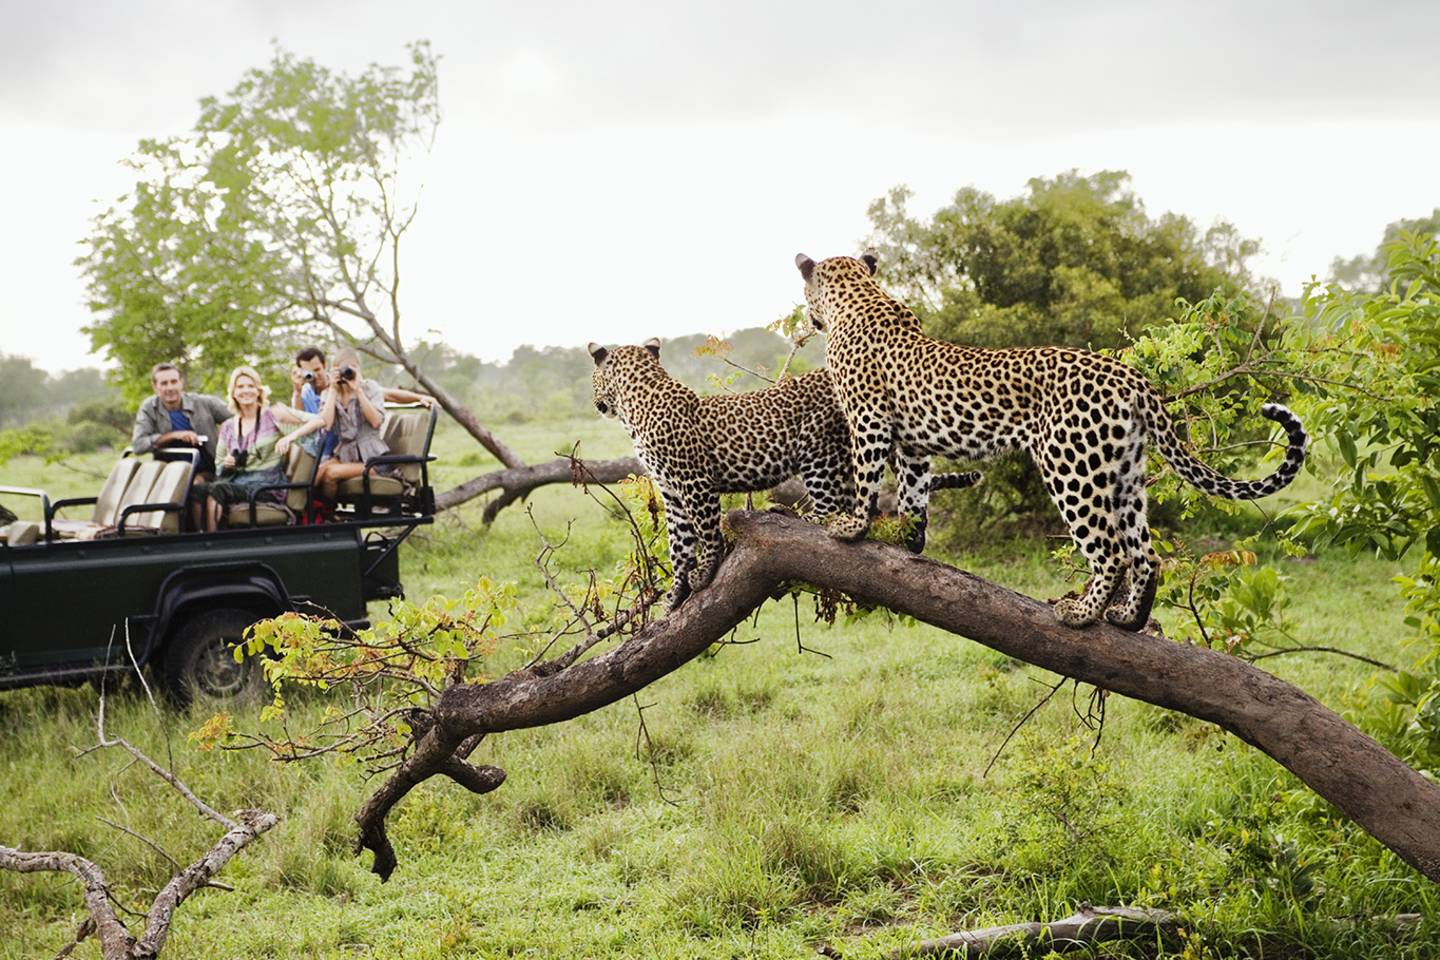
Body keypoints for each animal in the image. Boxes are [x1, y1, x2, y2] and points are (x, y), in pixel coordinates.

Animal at [584, 338, 979, 607]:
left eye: (593, 379)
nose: (595, 403)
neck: (637, 404)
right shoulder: (670, 490)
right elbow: (678, 543)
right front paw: (677, 590)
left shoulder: (694, 483)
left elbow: (707, 532)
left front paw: (706, 570)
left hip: (818, 450)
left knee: (830, 508)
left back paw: (795, 514)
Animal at [794, 251, 1313, 633]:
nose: (809, 318)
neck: (859, 296)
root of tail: (1131, 377)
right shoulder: (914, 444)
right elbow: (913, 492)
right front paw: (910, 538)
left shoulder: (868, 420)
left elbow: (867, 478)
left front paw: (851, 527)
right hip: (1124, 474)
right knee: (1146, 554)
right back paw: (1127, 618)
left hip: (1071, 467)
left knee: (1112, 552)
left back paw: (1081, 615)